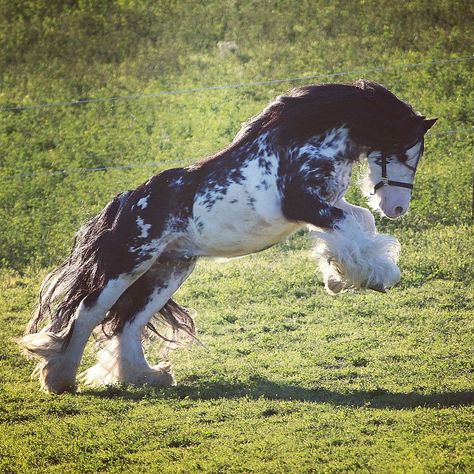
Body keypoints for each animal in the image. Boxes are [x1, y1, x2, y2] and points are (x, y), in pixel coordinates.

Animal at [21, 80, 436, 392]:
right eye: (405, 152)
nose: (398, 209)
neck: (302, 141)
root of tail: (125, 202)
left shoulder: (323, 206)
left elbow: (360, 222)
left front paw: (340, 277)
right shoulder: (305, 205)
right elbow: (353, 226)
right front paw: (374, 276)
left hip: (169, 271)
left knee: (129, 324)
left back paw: (145, 377)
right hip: (130, 263)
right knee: (89, 313)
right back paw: (59, 380)